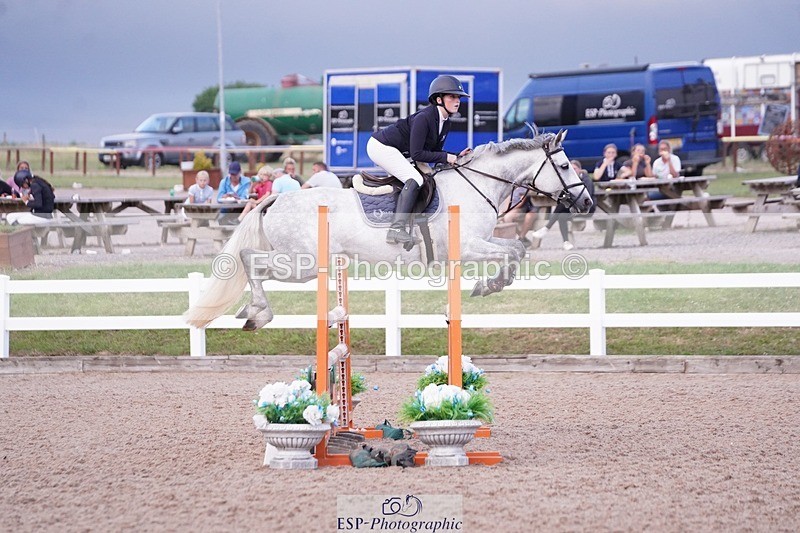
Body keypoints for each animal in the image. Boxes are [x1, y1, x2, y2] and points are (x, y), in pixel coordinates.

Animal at [184, 130, 593, 330]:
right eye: (565, 166)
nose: (588, 203)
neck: (477, 183)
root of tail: (275, 199)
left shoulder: (482, 240)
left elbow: (518, 248)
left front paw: (489, 284)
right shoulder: (467, 246)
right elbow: (512, 252)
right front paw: (489, 284)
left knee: (251, 260)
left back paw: (252, 311)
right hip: (302, 264)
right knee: (250, 260)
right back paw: (258, 313)